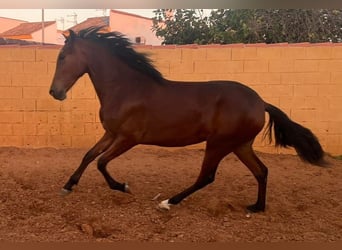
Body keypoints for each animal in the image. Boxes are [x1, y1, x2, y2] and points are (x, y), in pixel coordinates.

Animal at [49, 26, 324, 211]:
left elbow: (101, 162)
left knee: (207, 177)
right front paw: (67, 186)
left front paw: (123, 187)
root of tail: (261, 103)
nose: (55, 92)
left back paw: (168, 201)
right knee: (261, 171)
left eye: (62, 57)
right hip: (240, 145)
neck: (126, 89)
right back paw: (256, 207)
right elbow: (89, 156)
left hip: (219, 144)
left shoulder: (128, 138)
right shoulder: (111, 133)